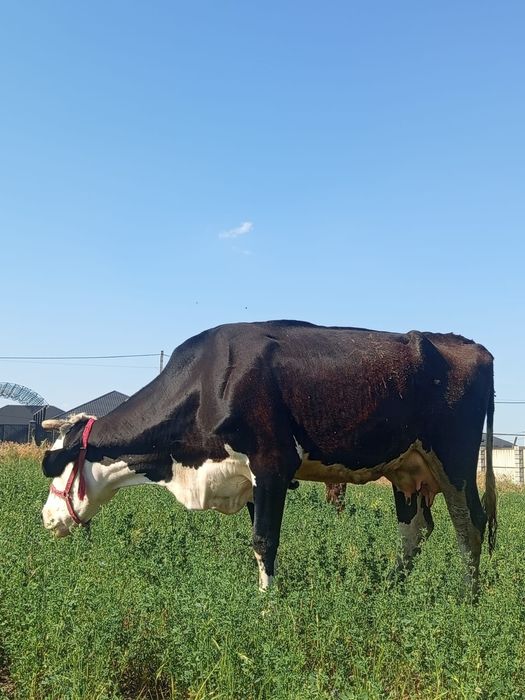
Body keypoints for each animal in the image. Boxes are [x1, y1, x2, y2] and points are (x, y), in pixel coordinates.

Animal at [41, 320, 496, 590]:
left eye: (55, 467)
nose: (45, 518)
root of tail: (472, 346)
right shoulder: (246, 477)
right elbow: (257, 540)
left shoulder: (273, 464)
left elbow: (265, 540)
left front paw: (267, 605)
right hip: (408, 469)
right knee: (414, 531)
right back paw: (389, 588)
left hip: (454, 459)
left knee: (469, 525)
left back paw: (467, 600)